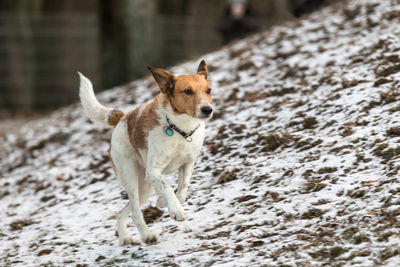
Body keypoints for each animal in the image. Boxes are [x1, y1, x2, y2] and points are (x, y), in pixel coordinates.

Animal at [77, 60, 212, 245]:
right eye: (187, 91)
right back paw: (147, 235)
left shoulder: (188, 163)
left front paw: (164, 201)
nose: (208, 110)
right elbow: (167, 186)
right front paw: (176, 210)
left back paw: (124, 237)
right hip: (132, 177)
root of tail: (122, 118)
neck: (179, 129)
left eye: (208, 90)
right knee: (135, 213)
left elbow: (182, 189)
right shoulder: (153, 171)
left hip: (144, 189)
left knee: (122, 213)